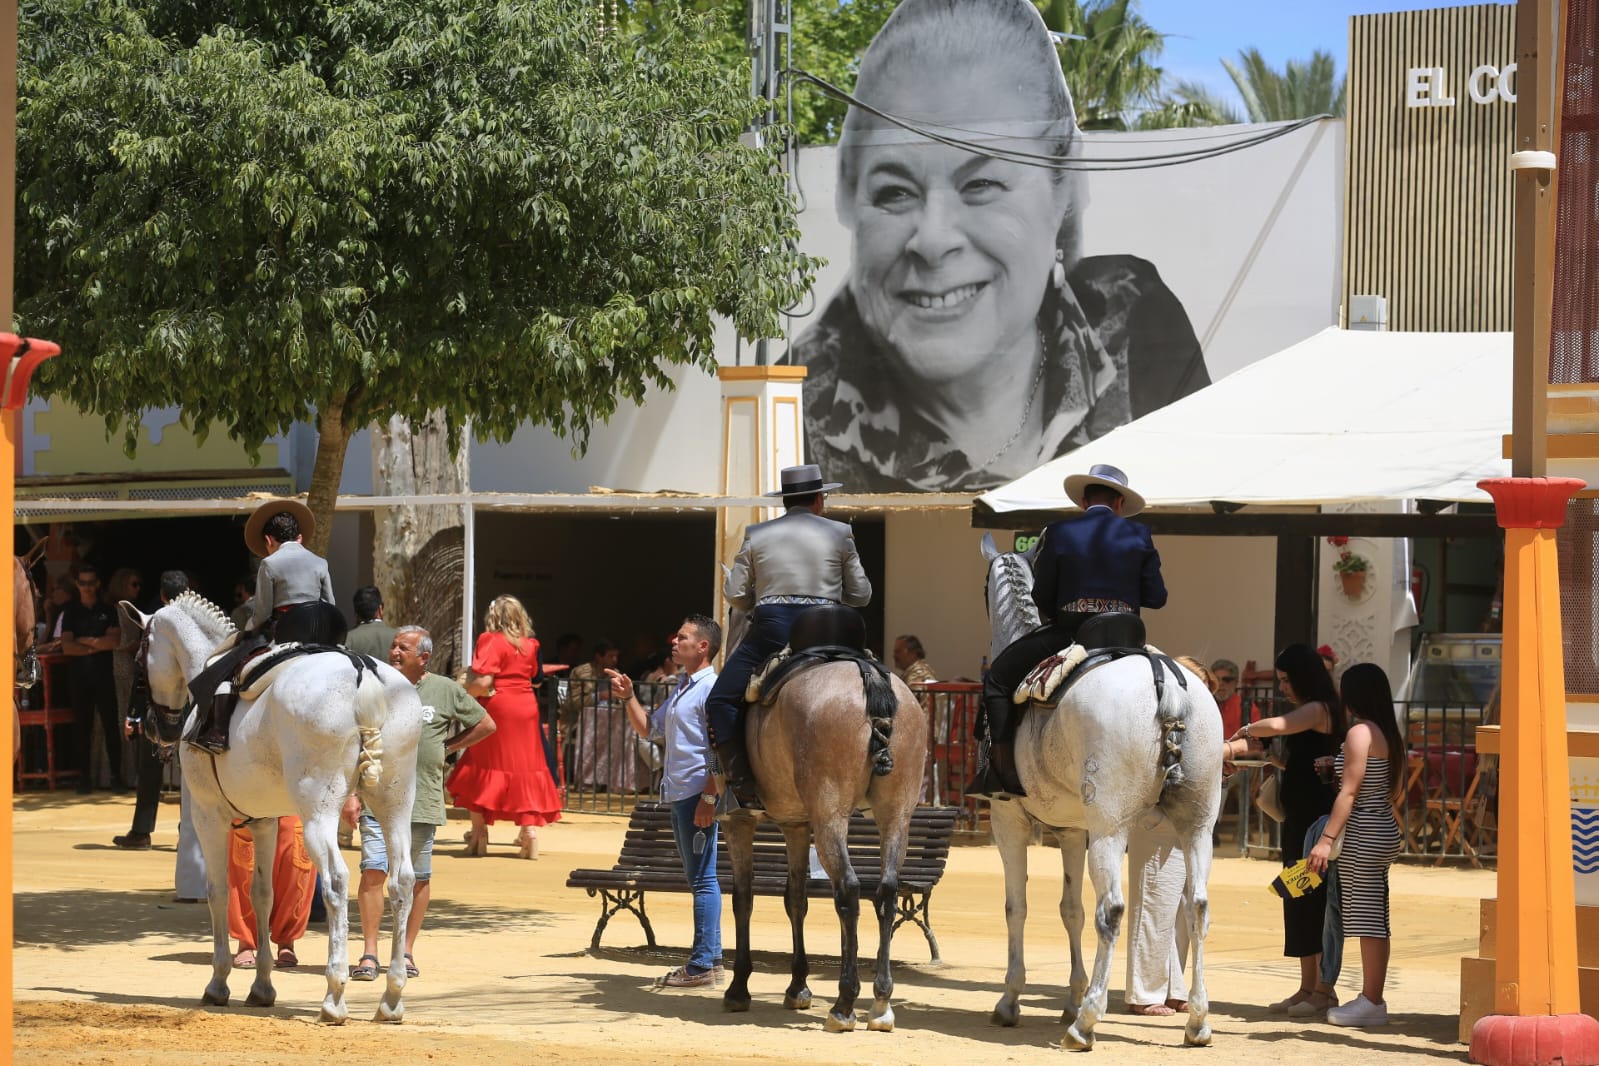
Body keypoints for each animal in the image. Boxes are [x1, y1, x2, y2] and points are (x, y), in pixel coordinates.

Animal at [128, 597, 425, 1022]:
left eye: (139, 659)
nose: (156, 727)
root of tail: (360, 670)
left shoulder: (208, 815)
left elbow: (218, 891)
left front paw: (219, 983)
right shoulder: (264, 821)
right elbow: (262, 894)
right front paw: (263, 986)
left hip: (318, 812)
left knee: (336, 881)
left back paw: (334, 994)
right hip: (394, 802)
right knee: (402, 882)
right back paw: (392, 997)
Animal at [722, 658, 933, 1035]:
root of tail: (869, 675)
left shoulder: (738, 821)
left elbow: (743, 899)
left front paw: (738, 988)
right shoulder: (795, 823)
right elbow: (796, 899)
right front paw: (797, 987)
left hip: (829, 815)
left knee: (848, 890)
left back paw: (844, 1004)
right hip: (895, 815)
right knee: (887, 893)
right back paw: (881, 1003)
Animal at [972, 536, 1221, 1048]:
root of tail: (1165, 682)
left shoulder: (1008, 820)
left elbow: (1016, 906)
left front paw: (1011, 1000)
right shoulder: (1071, 831)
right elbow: (1071, 910)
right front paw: (1071, 994)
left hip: (1110, 829)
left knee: (1114, 909)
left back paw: (1086, 1023)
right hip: (1198, 824)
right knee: (1198, 907)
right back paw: (1198, 1021)